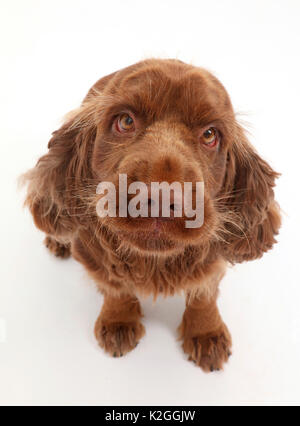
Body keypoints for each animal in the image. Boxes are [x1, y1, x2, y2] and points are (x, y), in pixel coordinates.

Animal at [23, 58, 282, 372]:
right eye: (125, 121)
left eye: (210, 135)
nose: (161, 198)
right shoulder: (95, 257)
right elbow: (116, 289)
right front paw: (119, 323)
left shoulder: (212, 264)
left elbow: (203, 296)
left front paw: (206, 335)